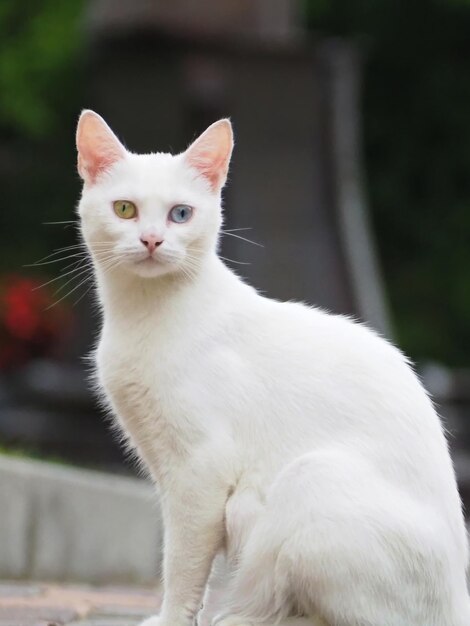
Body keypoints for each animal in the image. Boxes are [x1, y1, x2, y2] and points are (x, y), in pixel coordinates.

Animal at [75, 109, 468, 620]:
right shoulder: (165, 466)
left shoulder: (199, 470)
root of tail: (458, 598)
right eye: (124, 209)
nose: (152, 239)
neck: (142, 315)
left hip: (308, 478)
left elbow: (181, 564)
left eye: (181, 214)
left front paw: (171, 619)